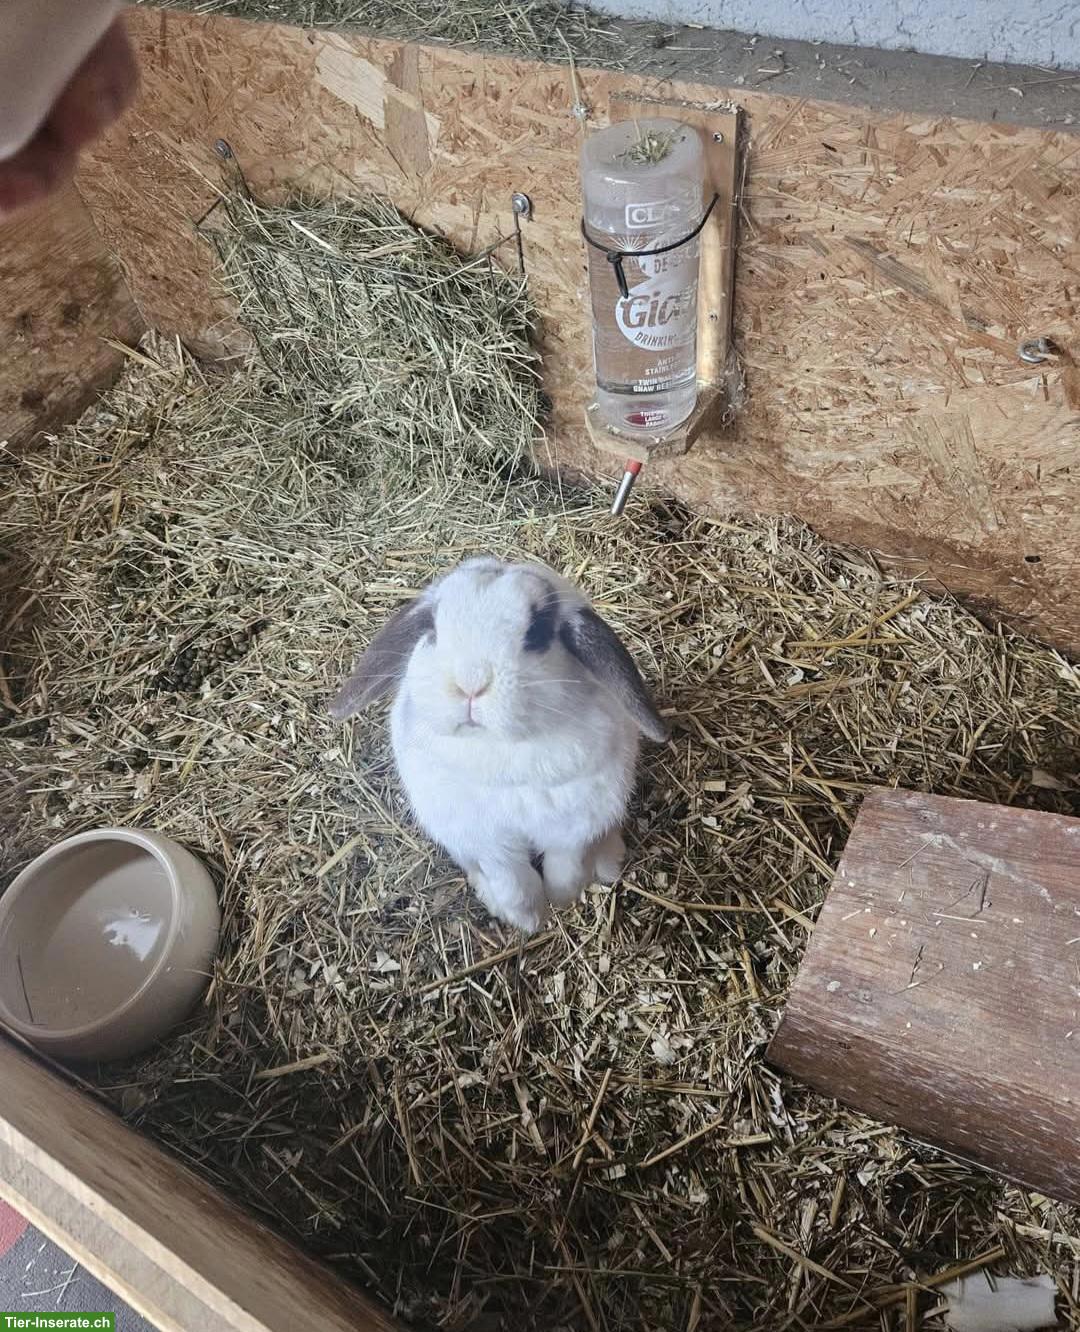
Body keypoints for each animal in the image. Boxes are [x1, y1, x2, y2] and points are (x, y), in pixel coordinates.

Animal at [330, 556, 668, 934]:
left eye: (537, 632)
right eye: (433, 629)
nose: (470, 682)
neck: (502, 752)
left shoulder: (572, 827)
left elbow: (564, 868)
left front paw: (560, 899)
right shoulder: (485, 838)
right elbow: (513, 881)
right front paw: (528, 919)